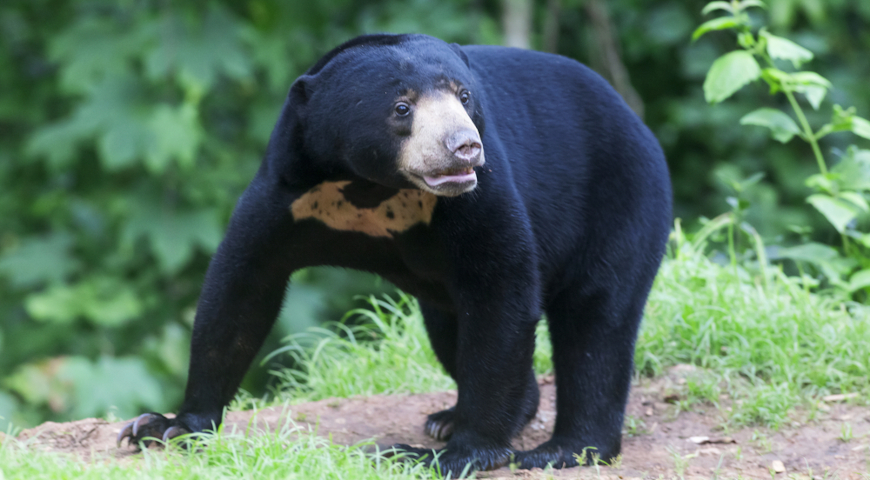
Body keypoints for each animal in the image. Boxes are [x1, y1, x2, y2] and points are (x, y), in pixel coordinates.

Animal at [117, 33, 672, 474]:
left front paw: (454, 454)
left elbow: (503, 290)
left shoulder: (480, 194)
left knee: (596, 322)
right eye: (402, 107)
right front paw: (165, 426)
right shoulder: (288, 191)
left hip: (622, 200)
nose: (465, 147)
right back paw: (454, 418)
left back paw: (565, 449)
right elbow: (241, 291)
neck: (374, 186)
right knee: (454, 331)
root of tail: (636, 121)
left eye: (465, 97)